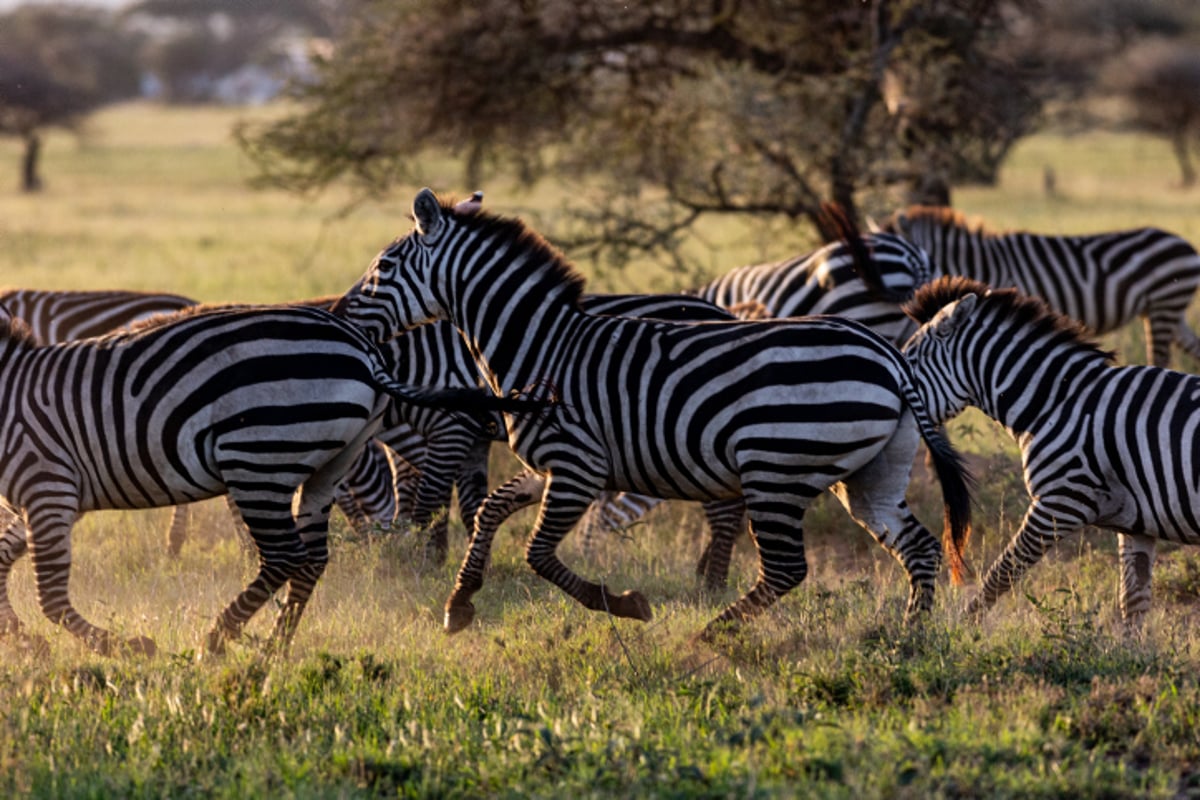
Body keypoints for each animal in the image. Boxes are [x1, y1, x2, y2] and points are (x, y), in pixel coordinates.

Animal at [0, 299, 540, 657]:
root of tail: (365, 350)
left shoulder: (47, 484)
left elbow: (50, 594)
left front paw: (124, 646)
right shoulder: (41, 498)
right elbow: (6, 557)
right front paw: (21, 640)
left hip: (259, 457)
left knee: (285, 555)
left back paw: (217, 640)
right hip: (328, 465)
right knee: (313, 558)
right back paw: (276, 645)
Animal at [333, 188, 969, 638]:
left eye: (383, 267)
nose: (338, 310)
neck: (540, 347)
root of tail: (888, 357)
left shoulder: (578, 467)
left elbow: (537, 553)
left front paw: (625, 604)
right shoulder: (551, 467)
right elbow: (490, 510)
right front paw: (459, 604)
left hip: (776, 468)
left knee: (787, 567)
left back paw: (710, 635)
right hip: (869, 474)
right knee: (918, 547)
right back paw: (910, 638)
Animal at [902, 277, 1200, 623]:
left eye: (907, 362)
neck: (1054, 404)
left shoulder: (1059, 503)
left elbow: (1000, 574)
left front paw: (962, 627)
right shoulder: (1135, 525)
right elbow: (1133, 602)